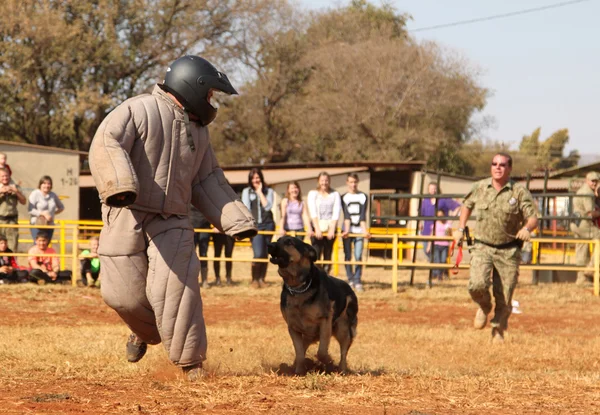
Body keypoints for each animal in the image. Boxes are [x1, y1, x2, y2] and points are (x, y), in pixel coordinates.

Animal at [268, 236, 356, 376]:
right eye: (278, 239)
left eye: (289, 242)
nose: (269, 245)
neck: (298, 287)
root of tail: (349, 287)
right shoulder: (293, 328)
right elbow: (299, 353)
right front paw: (299, 371)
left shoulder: (324, 322)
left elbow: (321, 352)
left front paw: (329, 362)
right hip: (308, 335)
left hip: (343, 329)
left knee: (343, 353)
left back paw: (341, 370)